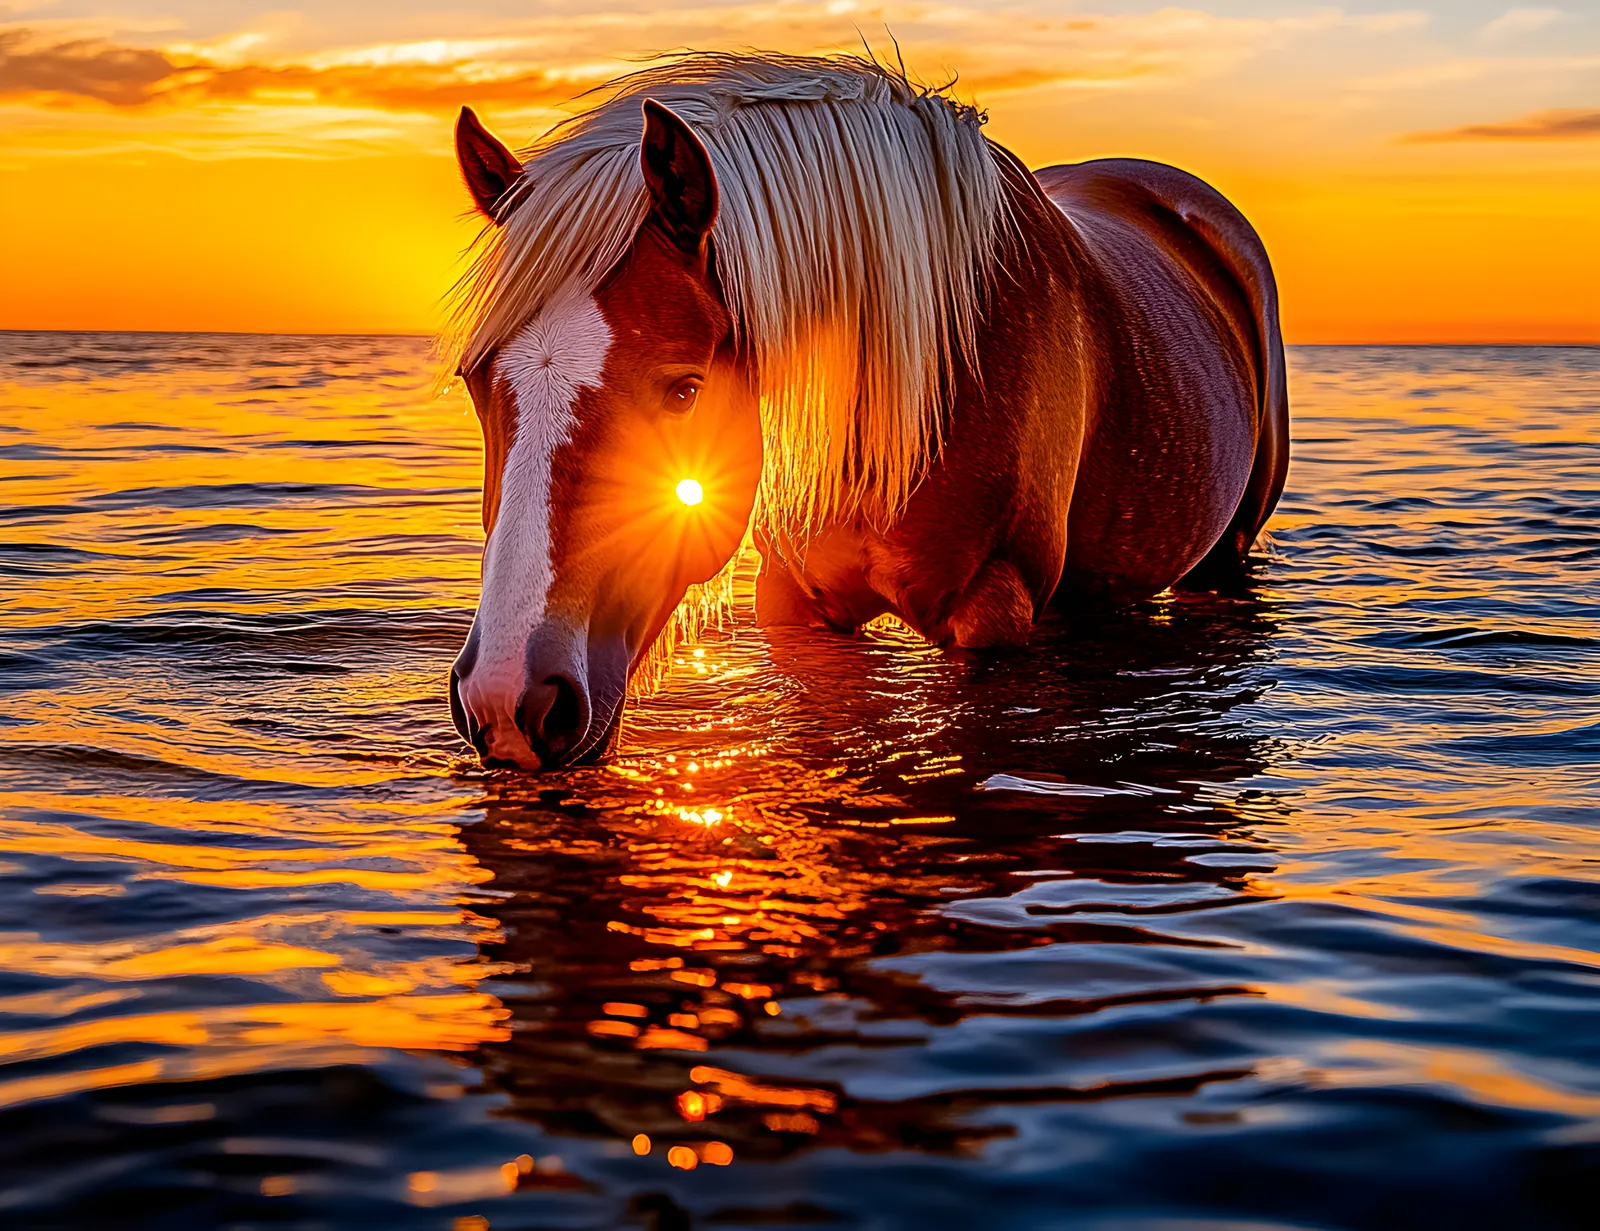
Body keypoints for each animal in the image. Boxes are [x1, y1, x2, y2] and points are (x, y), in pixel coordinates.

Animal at [444, 52, 1288, 772]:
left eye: (682, 389)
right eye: (476, 381)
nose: (508, 700)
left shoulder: (994, 609)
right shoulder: (793, 605)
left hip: (1221, 556)